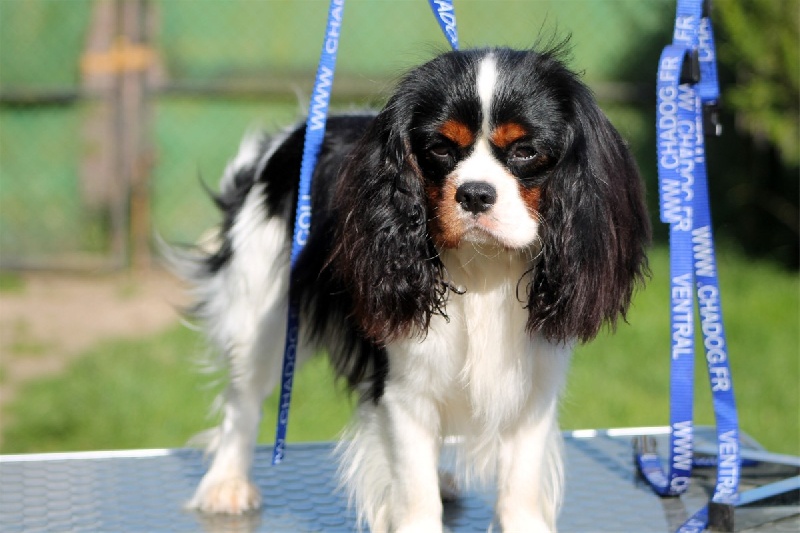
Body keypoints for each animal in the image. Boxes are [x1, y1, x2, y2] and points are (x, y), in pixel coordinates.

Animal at [177, 46, 648, 532]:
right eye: (440, 147)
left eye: (526, 151)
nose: (475, 193)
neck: (483, 266)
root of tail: (285, 141)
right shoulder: (405, 391)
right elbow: (413, 485)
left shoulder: (533, 387)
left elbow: (521, 484)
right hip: (259, 316)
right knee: (243, 402)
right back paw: (226, 485)